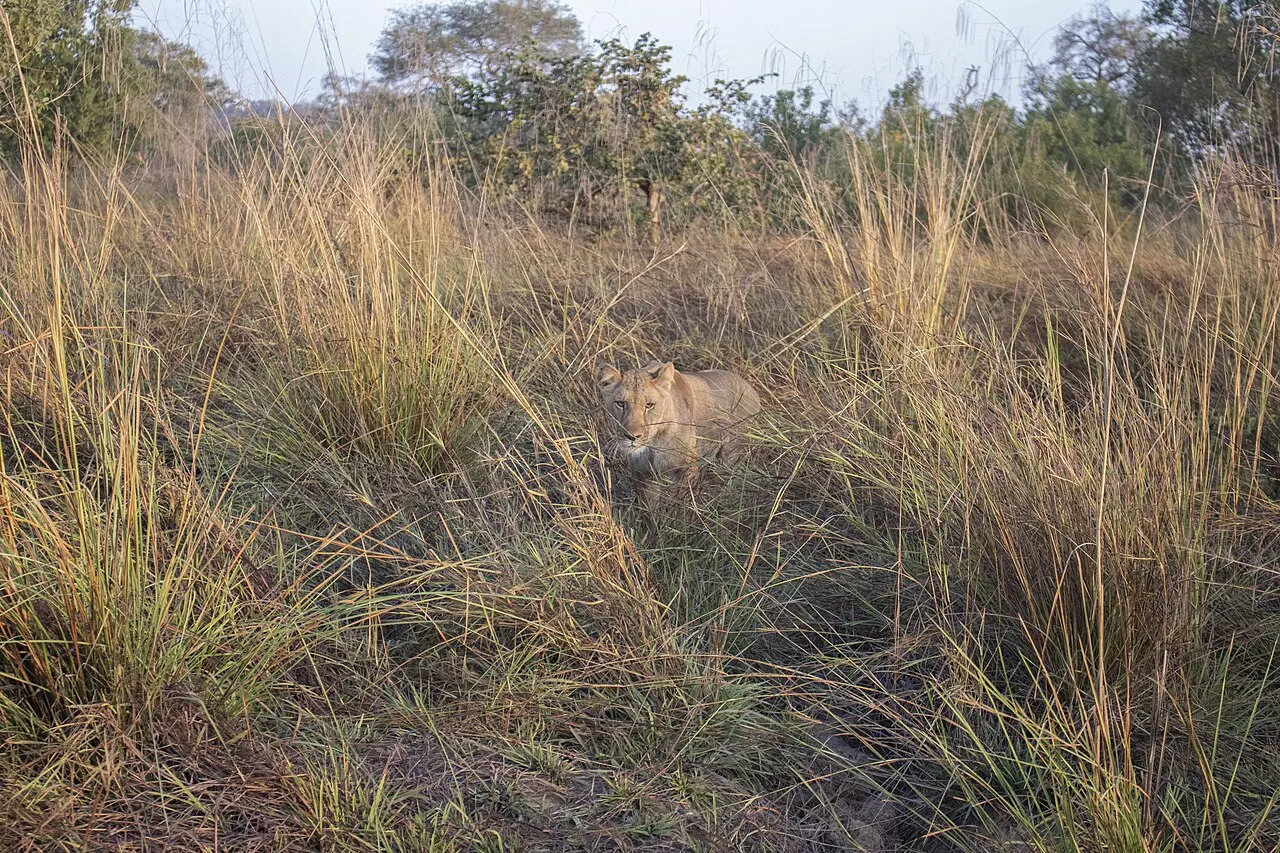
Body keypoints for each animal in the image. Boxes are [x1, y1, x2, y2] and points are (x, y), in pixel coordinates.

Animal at [598, 360, 762, 506]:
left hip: (731, 456)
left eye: (649, 405)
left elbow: (681, 507)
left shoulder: (688, 471)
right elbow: (649, 512)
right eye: (620, 403)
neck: (654, 443)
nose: (632, 437)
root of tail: (751, 389)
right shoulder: (643, 475)